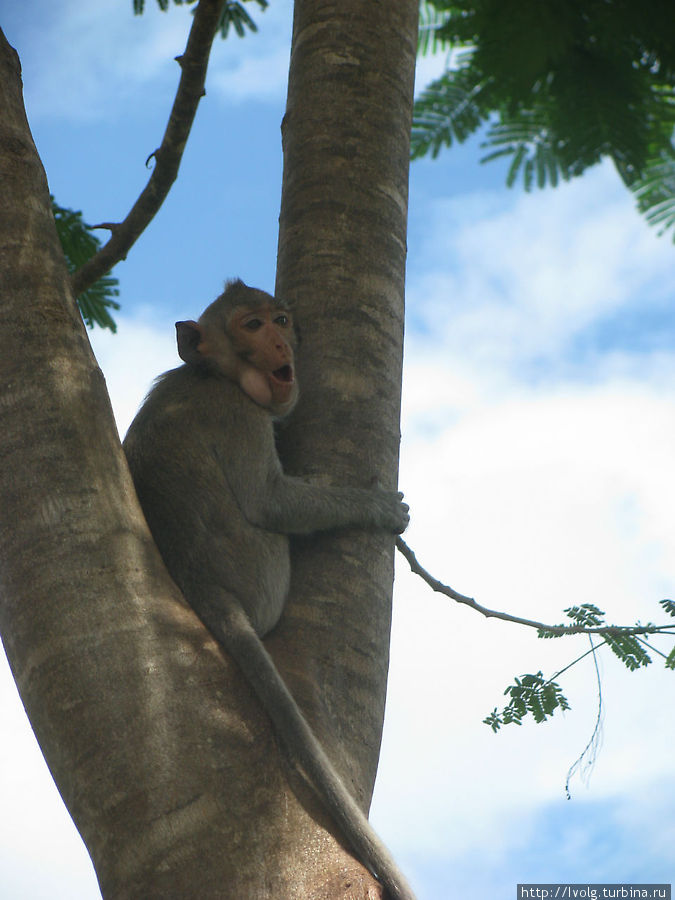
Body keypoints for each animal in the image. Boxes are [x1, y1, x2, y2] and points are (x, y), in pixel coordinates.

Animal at [123, 278, 414, 896]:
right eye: (251, 326)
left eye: (278, 318)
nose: (282, 340)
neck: (212, 375)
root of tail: (201, 582)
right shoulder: (239, 417)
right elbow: (270, 501)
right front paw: (376, 509)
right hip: (262, 571)